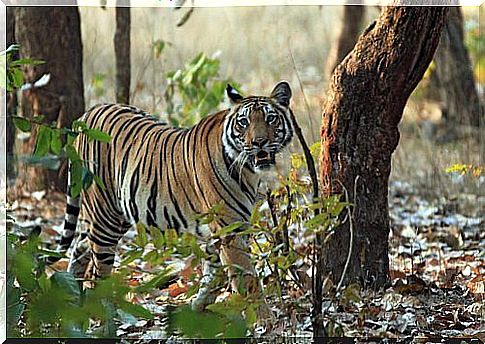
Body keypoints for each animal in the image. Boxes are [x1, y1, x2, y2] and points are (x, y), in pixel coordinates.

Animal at [52, 81, 294, 314]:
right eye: (244, 122)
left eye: (271, 118)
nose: (259, 142)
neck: (248, 171)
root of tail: (89, 112)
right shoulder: (229, 230)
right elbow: (247, 279)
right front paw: (265, 319)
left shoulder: (227, 230)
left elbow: (214, 273)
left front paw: (199, 308)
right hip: (105, 215)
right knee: (98, 269)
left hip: (115, 215)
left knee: (81, 246)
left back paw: (71, 295)